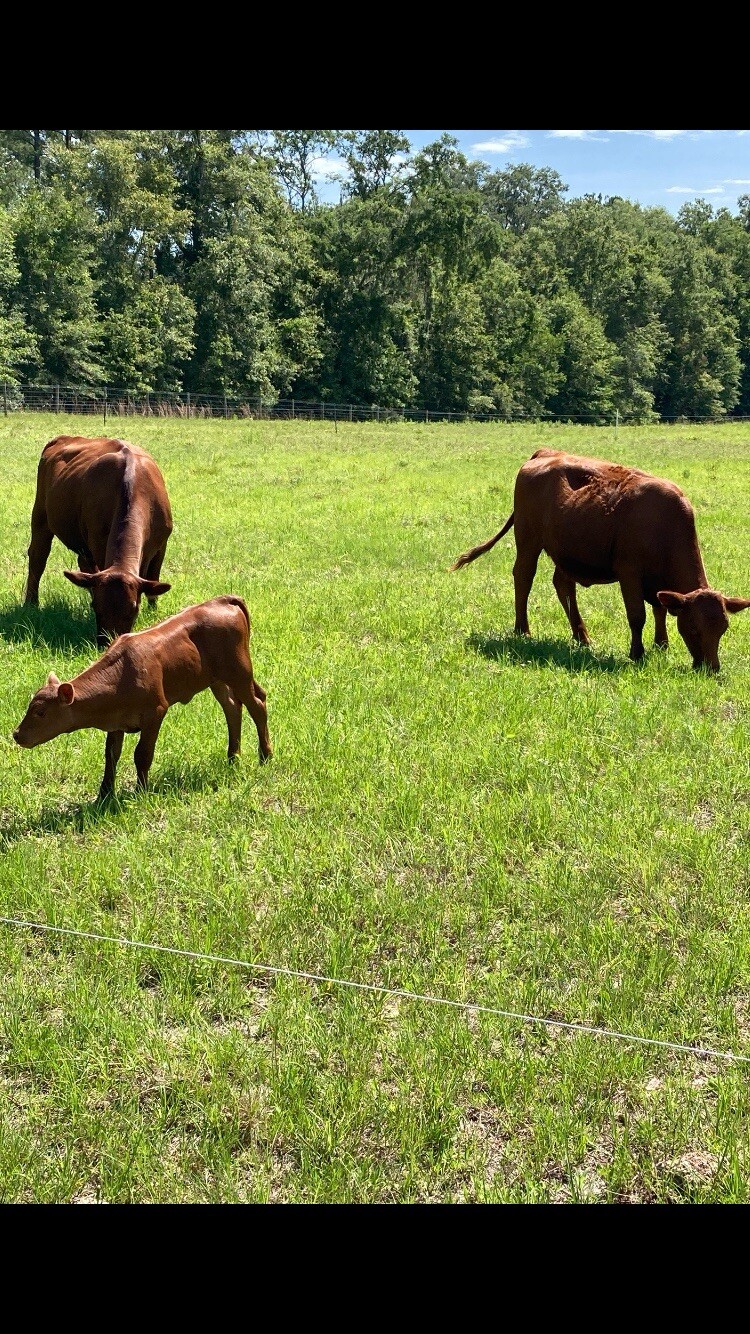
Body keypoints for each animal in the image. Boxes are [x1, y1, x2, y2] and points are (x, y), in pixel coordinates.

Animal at [12, 596, 272, 800]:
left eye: (41, 712)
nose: (16, 734)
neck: (121, 674)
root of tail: (222, 600)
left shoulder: (155, 711)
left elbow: (143, 753)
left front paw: (141, 791)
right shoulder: (116, 721)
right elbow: (111, 755)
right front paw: (104, 795)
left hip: (239, 672)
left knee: (257, 705)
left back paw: (265, 756)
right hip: (217, 680)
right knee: (232, 707)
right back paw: (233, 757)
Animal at [24, 435, 173, 648]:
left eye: (134, 608)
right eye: (96, 607)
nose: (108, 642)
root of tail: (64, 438)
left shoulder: (161, 544)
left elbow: (153, 581)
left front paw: (153, 613)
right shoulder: (98, 542)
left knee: (83, 563)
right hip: (41, 515)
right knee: (38, 558)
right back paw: (31, 603)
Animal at [451, 448, 750, 671]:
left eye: (723, 629)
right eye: (694, 628)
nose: (711, 669)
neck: (664, 524)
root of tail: (545, 453)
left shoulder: (657, 583)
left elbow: (660, 609)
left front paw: (661, 645)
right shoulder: (630, 573)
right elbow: (637, 615)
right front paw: (637, 653)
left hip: (566, 552)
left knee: (563, 585)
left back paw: (581, 636)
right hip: (528, 541)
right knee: (523, 577)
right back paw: (523, 630)